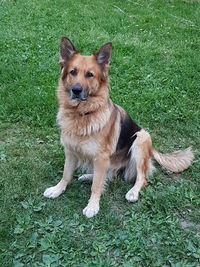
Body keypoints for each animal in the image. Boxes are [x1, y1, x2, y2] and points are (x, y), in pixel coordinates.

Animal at [43, 36, 194, 219]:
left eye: (90, 74)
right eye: (73, 72)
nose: (76, 90)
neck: (82, 114)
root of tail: (152, 149)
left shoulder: (101, 157)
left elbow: (96, 186)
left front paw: (93, 206)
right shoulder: (71, 151)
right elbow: (66, 175)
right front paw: (57, 189)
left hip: (140, 139)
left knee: (141, 178)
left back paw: (132, 192)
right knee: (110, 175)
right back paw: (88, 175)